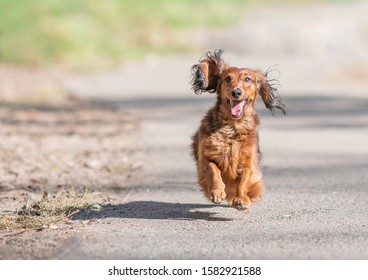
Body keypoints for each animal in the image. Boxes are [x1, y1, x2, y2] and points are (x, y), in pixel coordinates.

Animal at [190, 49, 284, 210]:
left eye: (248, 79)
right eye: (227, 78)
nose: (236, 92)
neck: (233, 127)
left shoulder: (249, 161)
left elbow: (244, 180)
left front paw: (241, 199)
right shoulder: (206, 155)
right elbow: (213, 170)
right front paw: (217, 192)